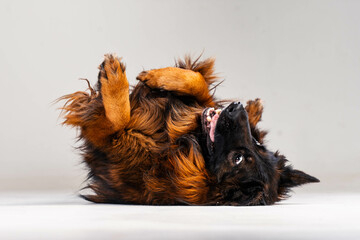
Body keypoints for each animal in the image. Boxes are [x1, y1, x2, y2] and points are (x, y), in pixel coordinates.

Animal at [60, 54, 320, 206]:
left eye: (237, 159)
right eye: (257, 145)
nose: (236, 108)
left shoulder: (109, 140)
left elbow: (116, 118)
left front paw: (113, 80)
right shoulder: (204, 104)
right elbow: (198, 82)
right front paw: (157, 77)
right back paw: (255, 106)